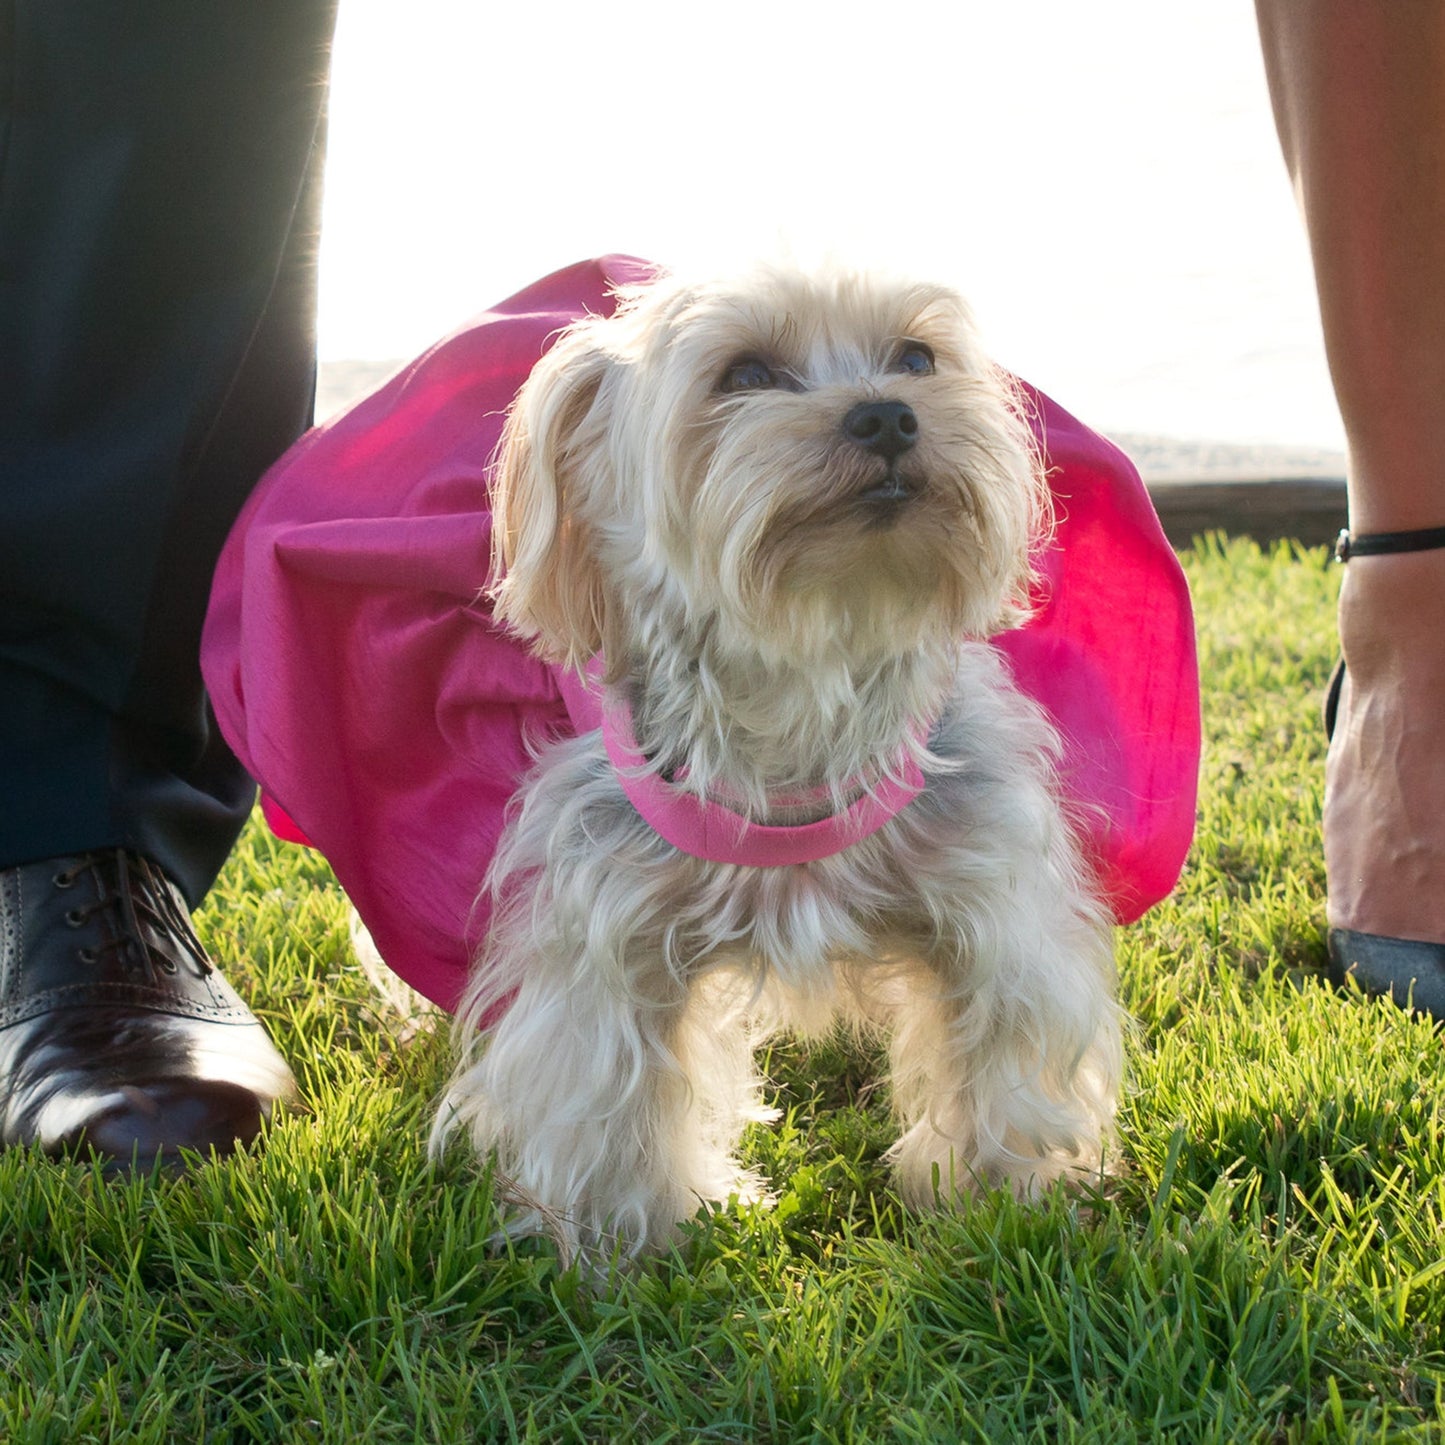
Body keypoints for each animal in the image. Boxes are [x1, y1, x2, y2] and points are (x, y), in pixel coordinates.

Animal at [433, 268, 1121, 1265]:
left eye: (916, 358)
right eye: (745, 373)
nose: (886, 415)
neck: (807, 665)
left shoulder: (990, 898)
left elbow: (999, 1044)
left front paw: (1000, 1198)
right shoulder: (610, 927)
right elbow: (607, 1082)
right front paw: (624, 1238)